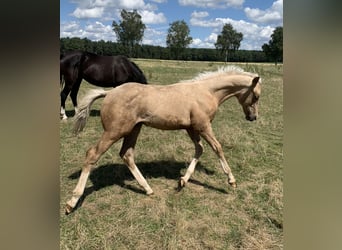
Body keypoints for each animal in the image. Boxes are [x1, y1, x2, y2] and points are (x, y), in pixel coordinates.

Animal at [65, 66, 262, 213]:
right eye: (256, 96)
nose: (253, 118)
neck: (206, 92)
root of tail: (108, 94)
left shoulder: (191, 128)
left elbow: (199, 149)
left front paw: (182, 181)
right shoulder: (203, 126)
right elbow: (217, 148)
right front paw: (231, 180)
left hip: (134, 129)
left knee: (127, 155)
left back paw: (148, 189)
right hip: (115, 131)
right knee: (92, 154)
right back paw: (72, 202)